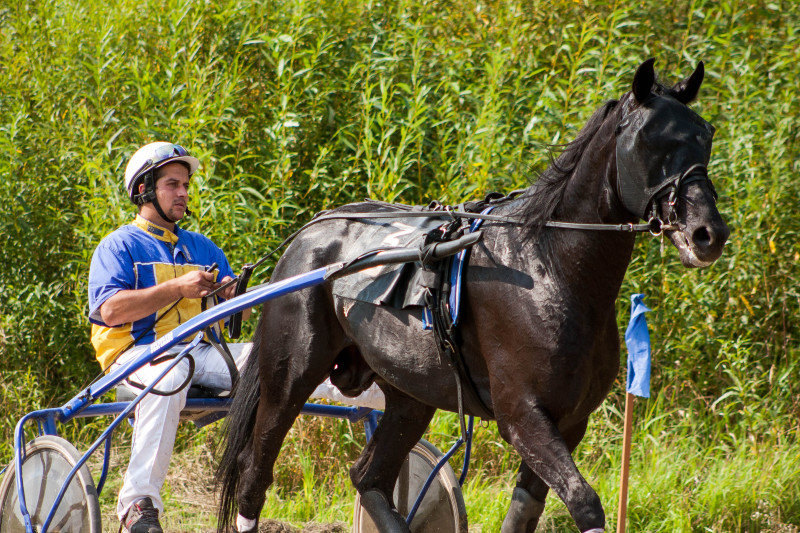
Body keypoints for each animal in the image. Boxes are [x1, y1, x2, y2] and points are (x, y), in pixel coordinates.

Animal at [216, 59, 728, 532]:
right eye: (650, 140)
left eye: (706, 135)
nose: (709, 233)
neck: (549, 264)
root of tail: (308, 235)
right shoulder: (523, 416)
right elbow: (584, 502)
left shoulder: (568, 422)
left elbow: (525, 512)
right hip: (290, 378)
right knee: (255, 474)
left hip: (409, 393)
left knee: (368, 477)